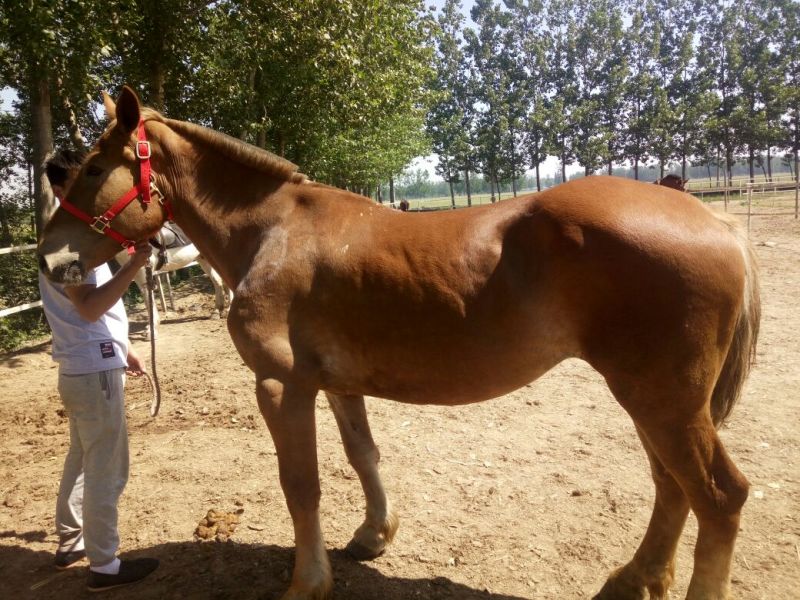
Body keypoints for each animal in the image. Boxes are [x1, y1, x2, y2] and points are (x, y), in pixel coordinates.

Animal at [38, 87, 760, 600]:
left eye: (94, 168)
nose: (51, 261)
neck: (272, 233)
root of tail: (713, 220)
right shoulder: (337, 384)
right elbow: (364, 457)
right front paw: (371, 536)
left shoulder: (281, 387)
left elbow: (301, 484)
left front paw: (307, 582)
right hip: (653, 400)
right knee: (672, 488)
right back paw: (634, 579)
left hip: (663, 402)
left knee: (719, 498)